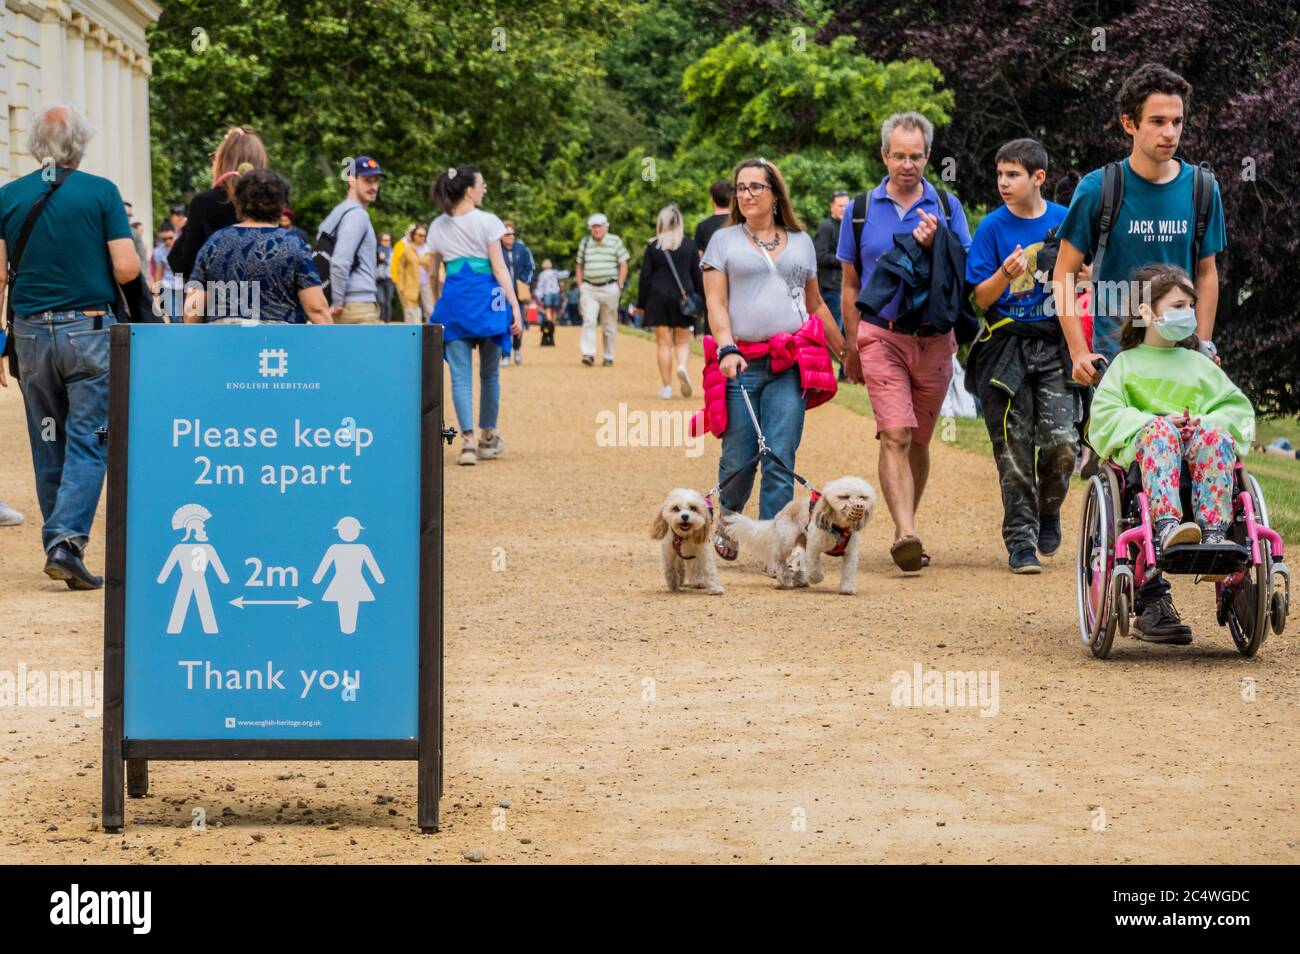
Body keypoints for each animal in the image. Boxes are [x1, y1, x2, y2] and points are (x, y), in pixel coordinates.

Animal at [722, 478, 873, 597]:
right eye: (844, 496)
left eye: (863, 497)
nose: (859, 506)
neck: (838, 528)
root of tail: (781, 513)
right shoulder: (814, 549)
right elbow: (814, 567)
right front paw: (816, 578)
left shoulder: (850, 553)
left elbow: (849, 571)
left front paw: (847, 589)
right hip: (787, 541)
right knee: (778, 557)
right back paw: (784, 578)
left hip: (801, 542)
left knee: (797, 559)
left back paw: (800, 581)